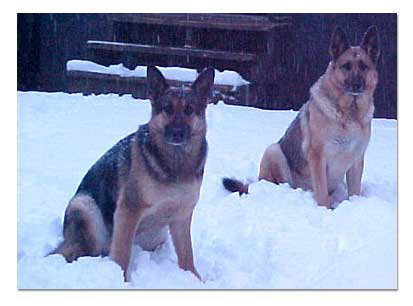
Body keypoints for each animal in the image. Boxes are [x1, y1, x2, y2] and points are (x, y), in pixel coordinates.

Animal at [52, 65, 216, 280]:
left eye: (189, 109)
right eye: (167, 109)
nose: (178, 133)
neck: (176, 163)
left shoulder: (181, 216)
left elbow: (186, 253)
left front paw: (195, 279)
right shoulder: (128, 211)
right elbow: (122, 254)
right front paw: (119, 281)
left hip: (155, 235)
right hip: (85, 207)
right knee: (78, 252)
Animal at [224, 26, 378, 209]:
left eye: (364, 66)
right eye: (346, 66)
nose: (357, 85)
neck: (349, 114)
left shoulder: (356, 160)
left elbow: (354, 192)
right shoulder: (317, 156)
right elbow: (322, 193)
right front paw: (325, 210)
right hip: (274, 151)